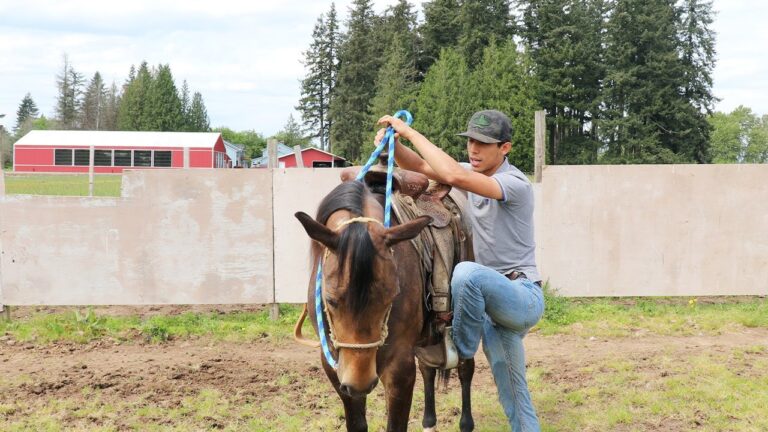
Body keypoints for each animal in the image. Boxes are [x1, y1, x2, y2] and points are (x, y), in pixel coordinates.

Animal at [295, 179, 475, 432]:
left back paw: (465, 423)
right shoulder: (334, 368)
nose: (360, 383)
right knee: (428, 369)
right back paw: (429, 422)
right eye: (329, 299)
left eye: (391, 297)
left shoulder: (400, 369)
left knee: (465, 368)